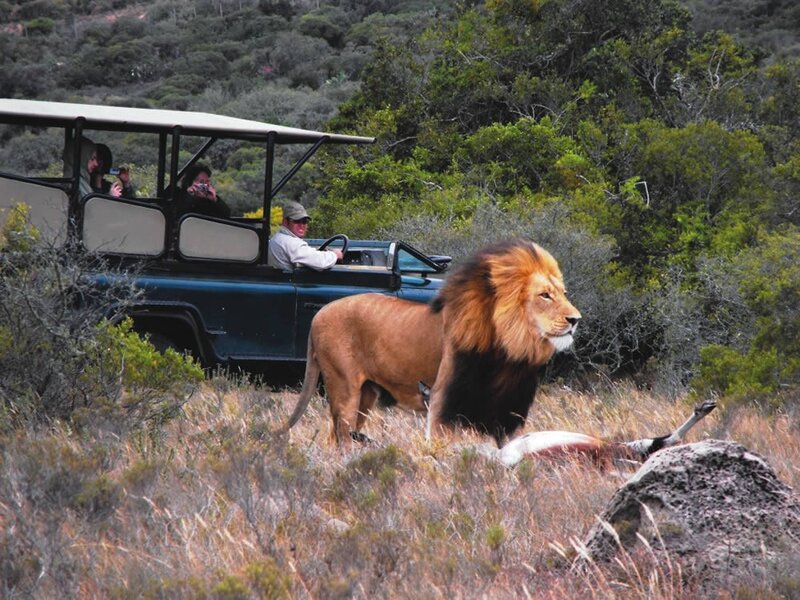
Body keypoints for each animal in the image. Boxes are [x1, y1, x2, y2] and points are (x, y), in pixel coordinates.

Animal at [283, 238, 581, 447]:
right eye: (544, 295)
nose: (576, 319)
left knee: (337, 436)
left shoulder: (508, 411)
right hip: (344, 386)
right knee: (342, 437)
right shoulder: (442, 402)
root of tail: (320, 313)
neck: (507, 353)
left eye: (564, 293)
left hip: (366, 394)